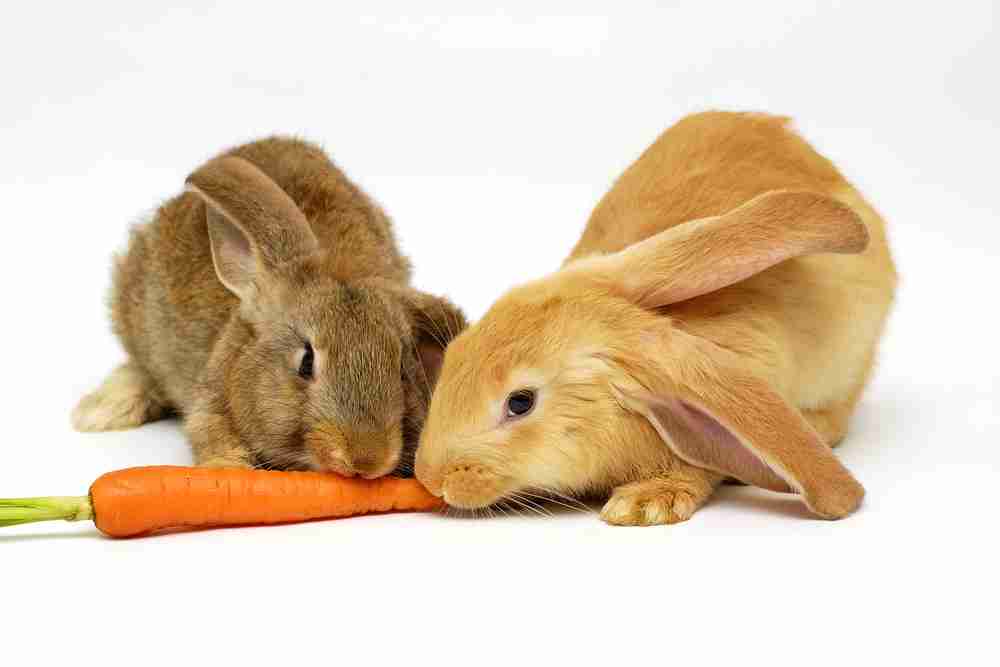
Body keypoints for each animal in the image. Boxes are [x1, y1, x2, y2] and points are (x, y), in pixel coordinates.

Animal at [74, 138, 464, 478]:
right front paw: (229, 470)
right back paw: (99, 412)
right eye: (306, 362)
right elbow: (208, 430)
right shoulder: (210, 398)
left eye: (402, 370)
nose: (366, 459)